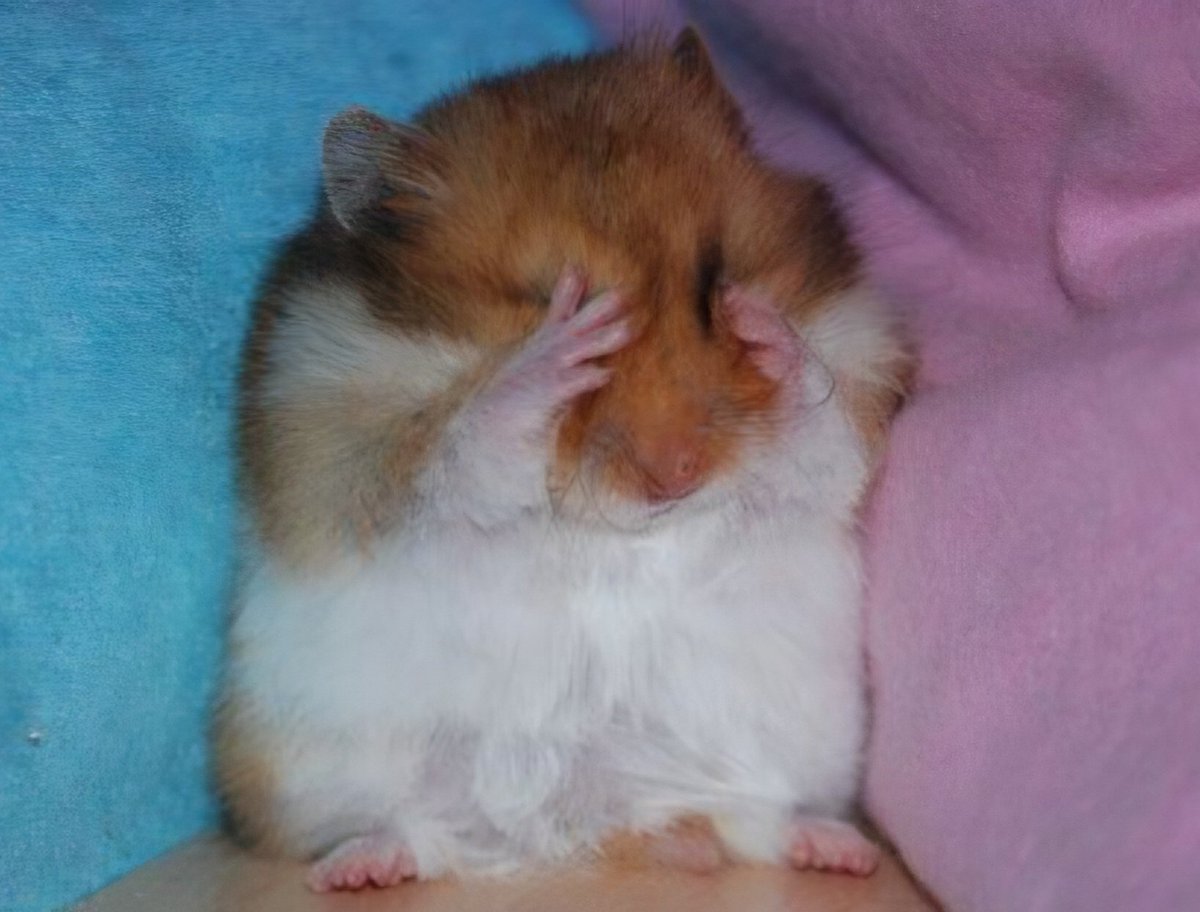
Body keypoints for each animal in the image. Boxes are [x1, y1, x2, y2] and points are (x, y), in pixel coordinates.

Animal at [214, 29, 909, 892]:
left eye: (714, 281)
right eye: (551, 299)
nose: (678, 477)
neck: (619, 529)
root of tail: (590, 824)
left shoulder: (822, 459)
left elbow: (818, 440)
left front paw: (764, 326)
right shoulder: (367, 472)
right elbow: (472, 440)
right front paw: (552, 355)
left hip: (791, 757)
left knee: (758, 826)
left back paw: (833, 850)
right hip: (308, 766)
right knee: (413, 833)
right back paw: (360, 868)